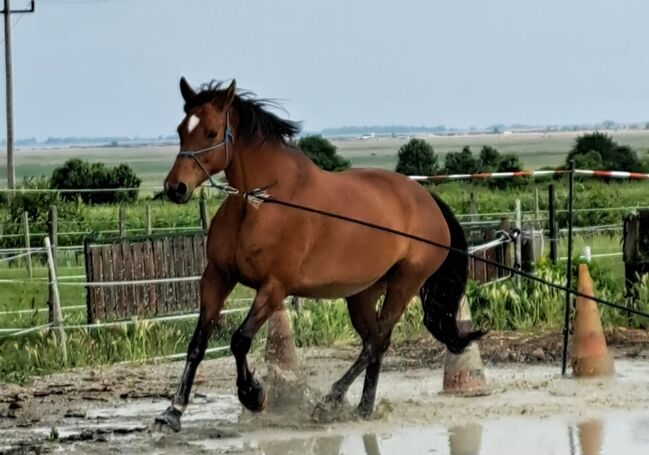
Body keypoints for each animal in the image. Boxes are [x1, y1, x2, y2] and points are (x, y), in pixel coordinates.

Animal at [154, 77, 484, 432]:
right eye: (181, 130)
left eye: (212, 132)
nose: (176, 188)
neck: (261, 202)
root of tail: (426, 199)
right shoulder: (217, 276)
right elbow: (198, 343)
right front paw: (172, 412)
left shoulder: (274, 287)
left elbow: (240, 339)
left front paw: (253, 395)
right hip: (363, 292)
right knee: (375, 343)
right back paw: (363, 408)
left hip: (404, 283)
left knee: (376, 341)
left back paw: (329, 403)